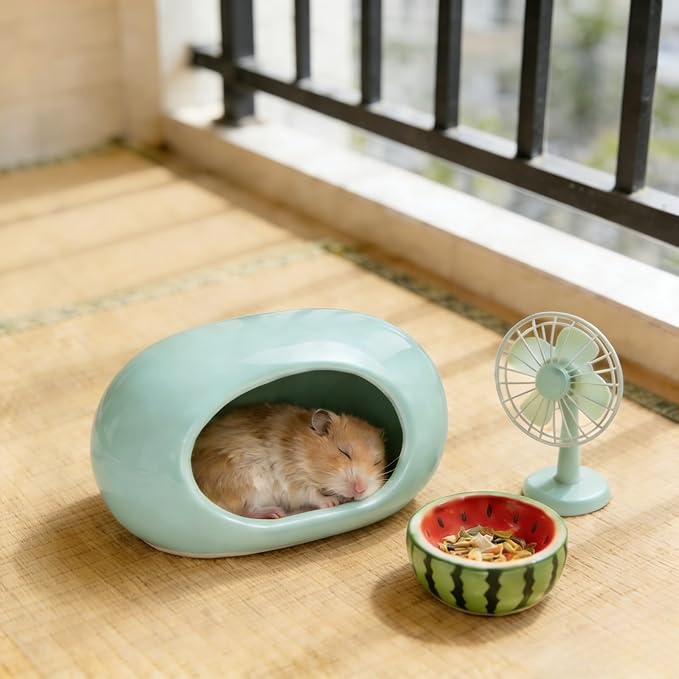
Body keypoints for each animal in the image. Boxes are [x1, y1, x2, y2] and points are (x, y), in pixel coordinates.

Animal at [191, 403, 388, 519]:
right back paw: (276, 513)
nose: (360, 490)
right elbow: (312, 495)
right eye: (344, 452)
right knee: (243, 510)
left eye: (377, 462)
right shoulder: (293, 480)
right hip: (247, 482)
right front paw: (332, 502)